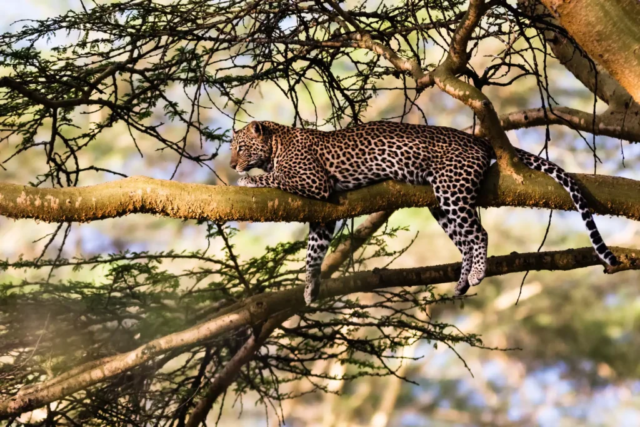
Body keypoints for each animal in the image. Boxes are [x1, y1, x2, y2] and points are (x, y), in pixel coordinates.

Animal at [230, 120, 619, 305]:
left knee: (479, 234)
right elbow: (313, 253)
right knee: (466, 240)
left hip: (452, 190)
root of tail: (477, 139)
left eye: (240, 147)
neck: (277, 143)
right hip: (441, 204)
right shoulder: (323, 214)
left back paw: (477, 274)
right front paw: (311, 288)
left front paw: (248, 181)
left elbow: (276, 178)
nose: (232, 164)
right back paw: (463, 280)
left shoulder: (314, 182)